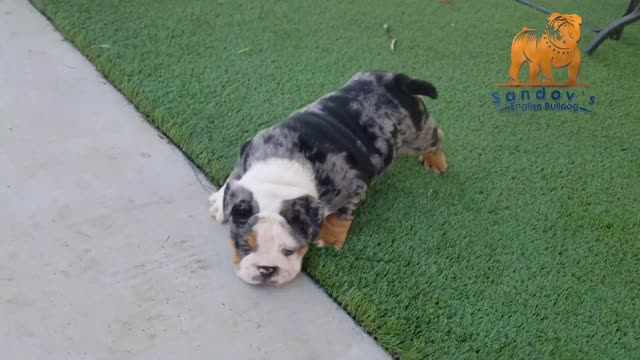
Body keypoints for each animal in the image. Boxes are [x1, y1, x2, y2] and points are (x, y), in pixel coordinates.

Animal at [208, 69, 448, 284]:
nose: (267, 269)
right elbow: (233, 177)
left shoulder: (353, 188)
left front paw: (330, 238)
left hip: (417, 136)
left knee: (437, 136)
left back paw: (436, 161)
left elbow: (342, 215)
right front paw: (219, 202)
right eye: (244, 246)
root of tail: (396, 81)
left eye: (289, 251)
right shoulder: (246, 152)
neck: (281, 176)